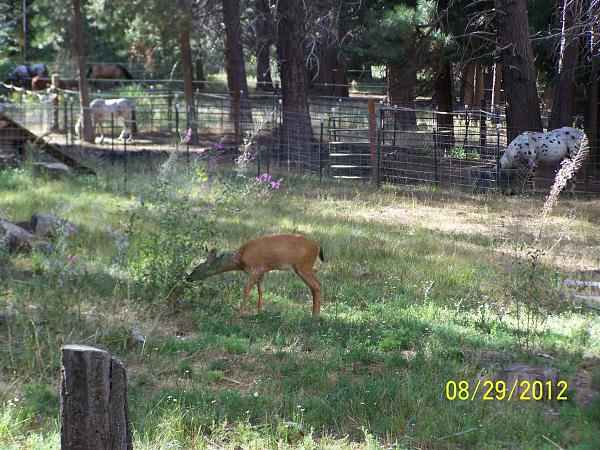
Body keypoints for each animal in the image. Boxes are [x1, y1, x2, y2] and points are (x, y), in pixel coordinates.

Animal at [190, 234, 326, 314]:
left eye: (197, 268)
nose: (187, 277)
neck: (240, 259)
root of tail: (318, 246)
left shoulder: (254, 269)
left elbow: (246, 290)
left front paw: (239, 312)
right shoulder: (262, 271)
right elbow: (261, 291)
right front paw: (259, 312)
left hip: (303, 266)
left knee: (318, 284)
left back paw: (316, 315)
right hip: (303, 267)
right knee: (314, 287)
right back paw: (314, 313)